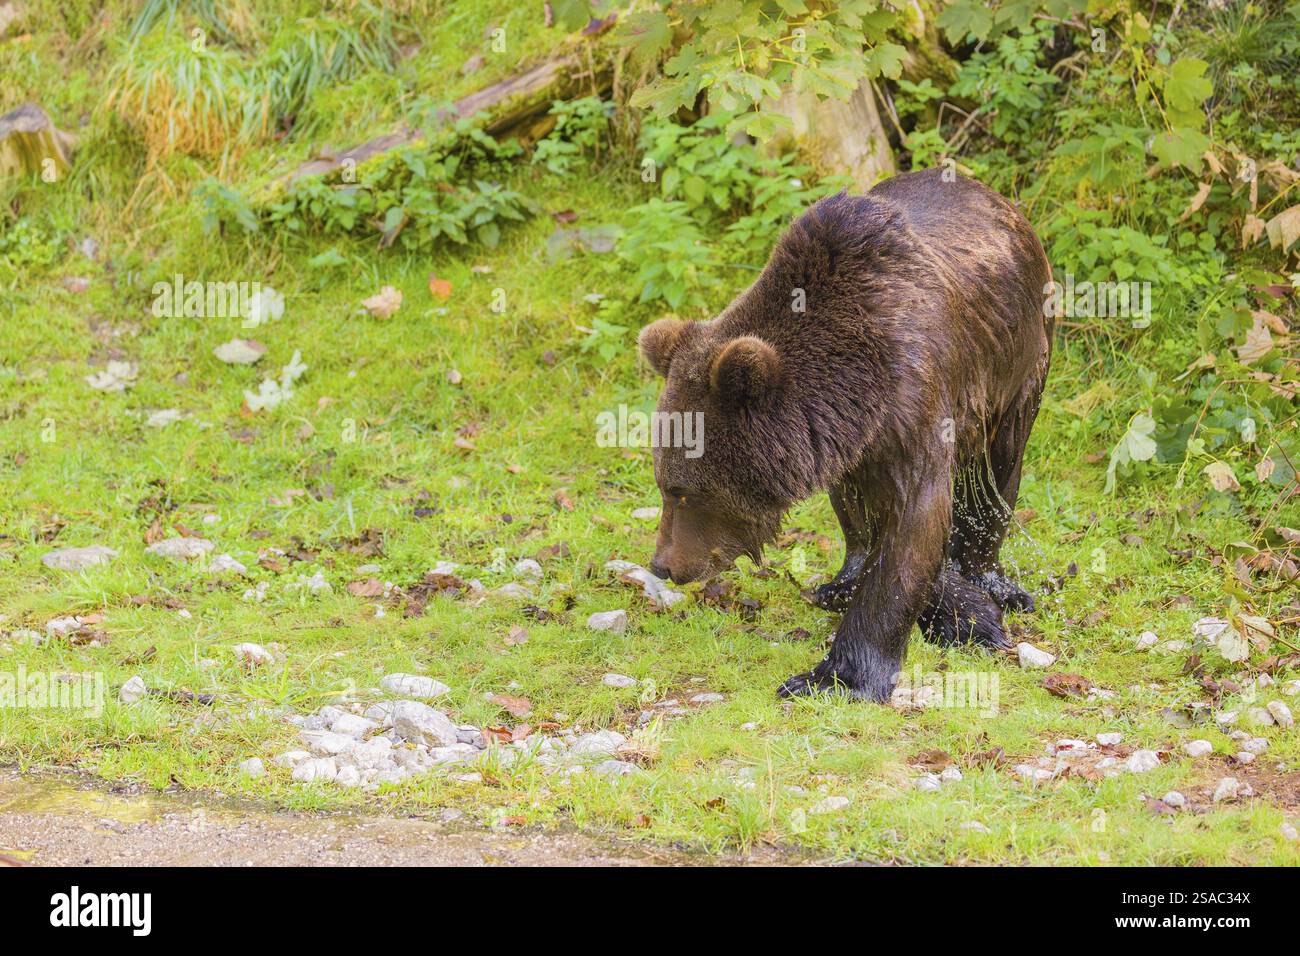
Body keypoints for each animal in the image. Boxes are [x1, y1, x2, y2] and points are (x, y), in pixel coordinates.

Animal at [637, 167, 1052, 702]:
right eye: (664, 484)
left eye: (681, 490)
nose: (663, 564)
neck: (856, 380)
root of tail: (993, 194)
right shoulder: (849, 440)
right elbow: (882, 524)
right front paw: (960, 612)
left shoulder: (916, 401)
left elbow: (912, 523)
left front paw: (835, 676)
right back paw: (840, 583)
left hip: (1021, 359)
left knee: (998, 470)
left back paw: (995, 580)